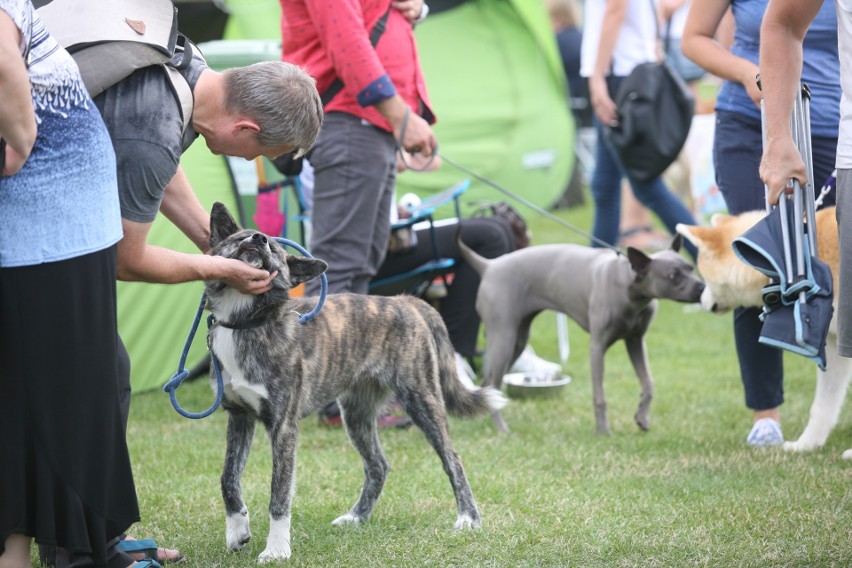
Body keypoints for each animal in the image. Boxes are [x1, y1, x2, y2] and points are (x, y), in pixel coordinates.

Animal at [205, 202, 506, 560]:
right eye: (239, 237)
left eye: (275, 249)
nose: (259, 238)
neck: (246, 322)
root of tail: (404, 300)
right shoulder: (239, 417)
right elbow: (227, 477)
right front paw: (237, 530)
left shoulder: (283, 428)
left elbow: (279, 493)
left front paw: (277, 549)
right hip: (357, 414)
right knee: (378, 465)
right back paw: (357, 516)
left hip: (422, 401)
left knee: (453, 459)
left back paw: (468, 517)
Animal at [460, 235, 704, 434]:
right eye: (673, 276)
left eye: (691, 267)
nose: (701, 287)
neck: (630, 290)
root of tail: (490, 265)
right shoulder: (597, 347)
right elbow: (600, 396)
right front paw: (603, 431)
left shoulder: (635, 342)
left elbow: (649, 384)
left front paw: (642, 418)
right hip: (504, 338)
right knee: (492, 381)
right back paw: (502, 428)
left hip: (518, 340)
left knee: (488, 382)